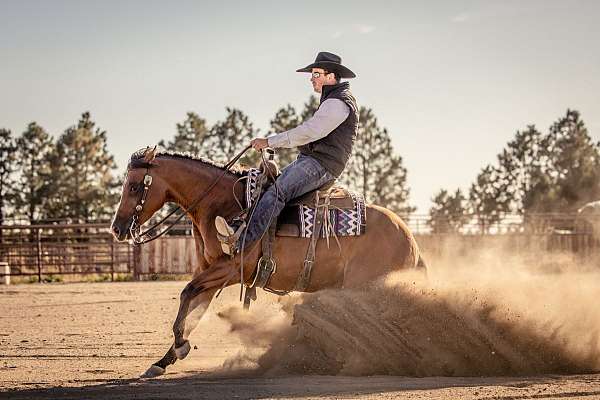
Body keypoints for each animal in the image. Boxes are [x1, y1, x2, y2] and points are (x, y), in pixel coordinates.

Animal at [110, 147, 424, 378]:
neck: (222, 205)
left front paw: (179, 347)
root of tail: (408, 236)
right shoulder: (209, 272)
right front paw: (165, 359)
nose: (117, 228)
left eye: (135, 186)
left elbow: (187, 294)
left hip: (367, 287)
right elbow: (193, 310)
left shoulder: (229, 269)